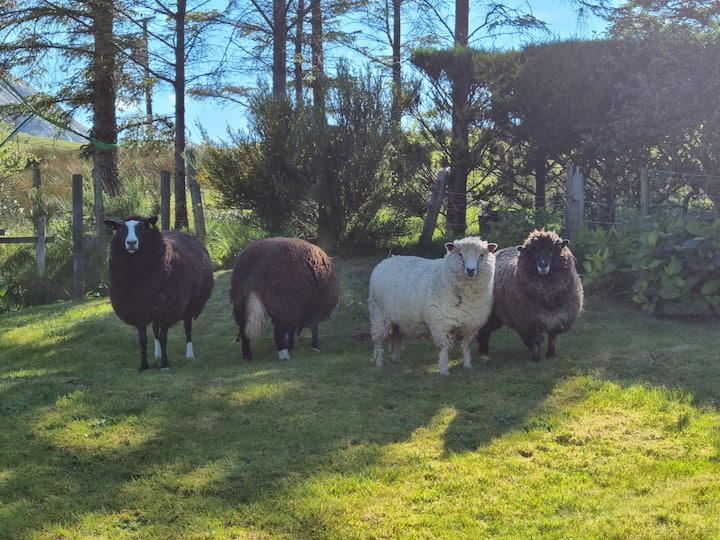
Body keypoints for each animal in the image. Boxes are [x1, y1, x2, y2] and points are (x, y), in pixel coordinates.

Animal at [104, 215, 214, 371]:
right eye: (121, 228)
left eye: (143, 227)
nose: (131, 243)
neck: (139, 280)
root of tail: (180, 232)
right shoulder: (138, 310)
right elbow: (143, 340)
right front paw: (144, 365)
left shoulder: (167, 311)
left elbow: (163, 338)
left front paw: (165, 365)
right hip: (156, 305)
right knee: (155, 329)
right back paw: (157, 354)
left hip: (189, 305)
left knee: (187, 328)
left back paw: (190, 354)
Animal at [368, 237, 497, 376]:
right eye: (460, 254)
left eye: (481, 255)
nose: (470, 270)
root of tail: (388, 259)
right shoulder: (441, 325)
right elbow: (444, 349)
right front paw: (444, 371)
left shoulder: (470, 326)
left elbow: (466, 347)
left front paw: (468, 365)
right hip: (379, 315)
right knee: (378, 343)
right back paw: (379, 363)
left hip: (398, 321)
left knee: (396, 339)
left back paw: (396, 360)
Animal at [477, 229, 583, 363]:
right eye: (534, 252)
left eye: (552, 250)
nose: (543, 265)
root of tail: (497, 252)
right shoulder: (529, 321)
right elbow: (535, 341)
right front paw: (536, 359)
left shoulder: (558, 318)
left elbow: (552, 337)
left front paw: (550, 354)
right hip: (492, 314)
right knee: (483, 329)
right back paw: (483, 351)